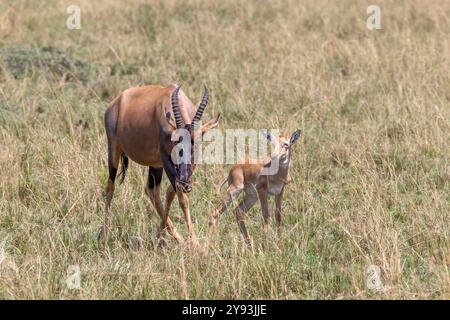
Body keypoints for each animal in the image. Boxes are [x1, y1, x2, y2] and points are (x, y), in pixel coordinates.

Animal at [98, 84, 220, 246]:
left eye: (196, 143)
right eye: (177, 142)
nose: (186, 184)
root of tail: (116, 102)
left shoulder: (183, 168)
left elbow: (170, 193)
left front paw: (162, 235)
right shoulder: (165, 158)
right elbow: (182, 199)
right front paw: (195, 244)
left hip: (156, 165)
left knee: (152, 191)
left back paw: (175, 238)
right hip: (114, 148)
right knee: (110, 187)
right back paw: (103, 235)